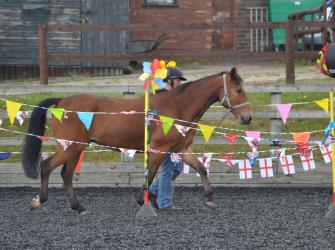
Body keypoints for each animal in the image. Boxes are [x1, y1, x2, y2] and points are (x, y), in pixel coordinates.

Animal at [21, 67, 252, 215]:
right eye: (238, 90)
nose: (247, 117)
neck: (178, 106)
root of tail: (61, 101)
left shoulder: (182, 150)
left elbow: (202, 169)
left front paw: (210, 198)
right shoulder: (159, 149)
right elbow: (151, 176)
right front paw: (145, 201)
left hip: (76, 148)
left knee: (66, 175)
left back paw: (78, 207)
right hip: (70, 146)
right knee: (46, 166)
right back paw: (39, 201)